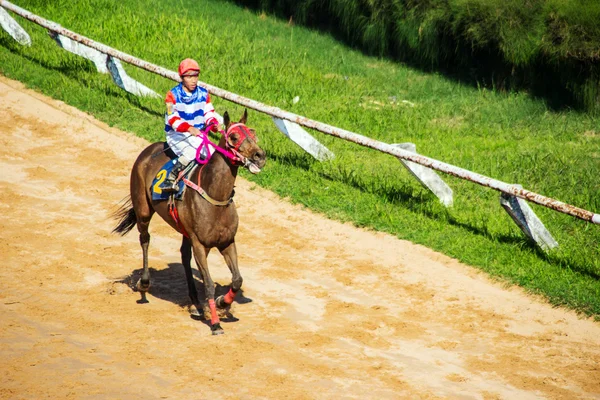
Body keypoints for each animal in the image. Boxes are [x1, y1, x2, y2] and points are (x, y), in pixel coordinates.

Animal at [113, 109, 268, 334]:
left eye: (253, 132)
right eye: (233, 137)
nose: (259, 156)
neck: (215, 196)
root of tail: (149, 150)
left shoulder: (227, 242)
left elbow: (237, 280)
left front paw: (222, 302)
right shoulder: (200, 245)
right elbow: (209, 284)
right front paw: (215, 323)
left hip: (185, 230)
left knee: (184, 256)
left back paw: (195, 303)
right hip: (143, 208)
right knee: (145, 239)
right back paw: (144, 284)